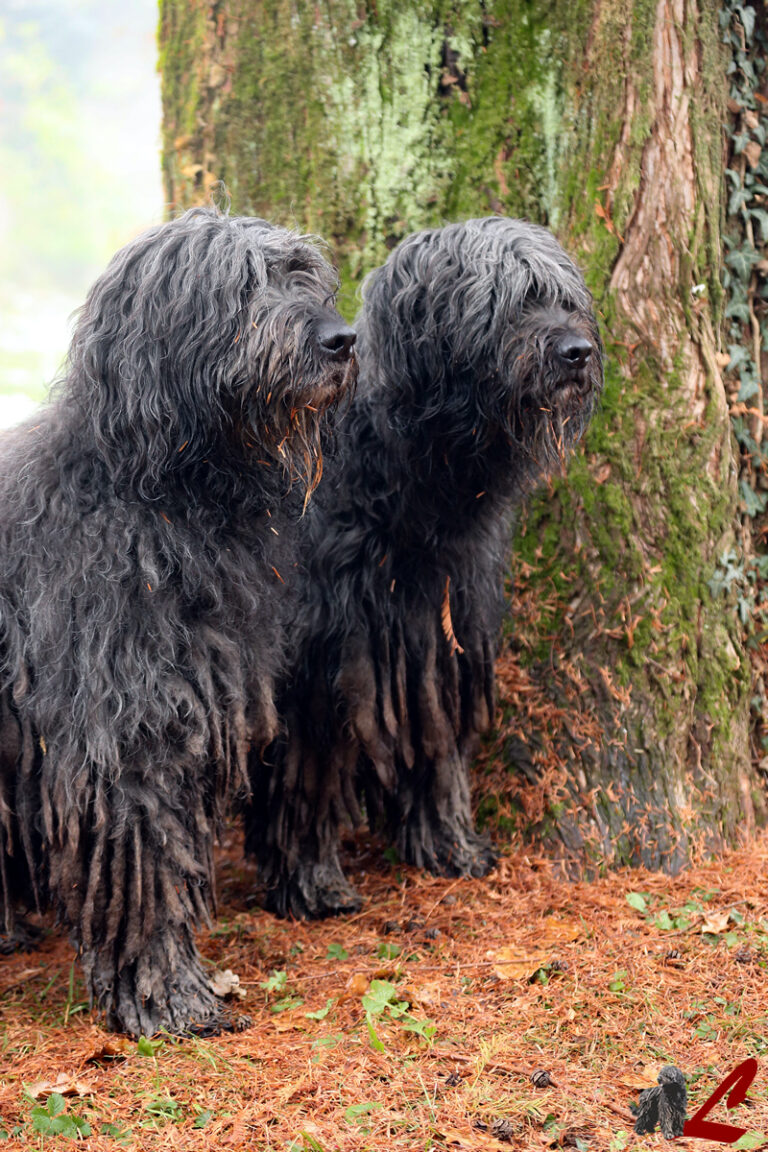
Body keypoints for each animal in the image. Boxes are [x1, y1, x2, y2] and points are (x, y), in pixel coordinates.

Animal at [0, 205, 359, 1036]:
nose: (342, 338)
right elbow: (147, 867)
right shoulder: (124, 730)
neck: (159, 498)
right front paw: (170, 994)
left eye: (306, 279)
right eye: (243, 286)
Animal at [249, 214, 603, 916]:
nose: (578, 350)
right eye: (510, 299)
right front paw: (311, 880)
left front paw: (448, 842)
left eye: (566, 298)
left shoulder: (430, 630)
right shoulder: (316, 655)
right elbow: (307, 773)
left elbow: (436, 742)